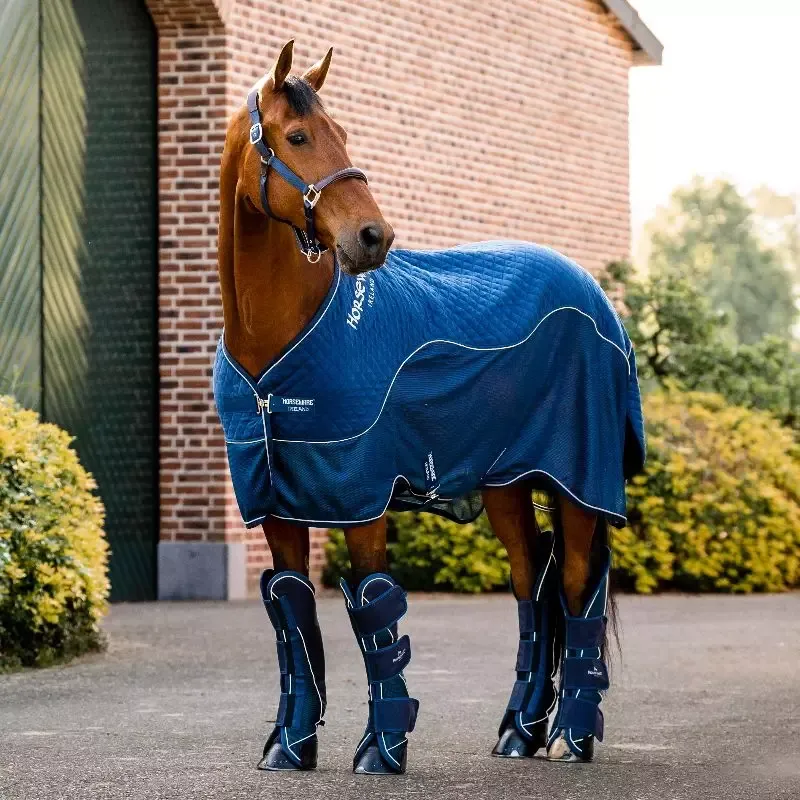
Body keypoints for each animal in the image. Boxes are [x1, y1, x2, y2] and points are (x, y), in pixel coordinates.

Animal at [214, 40, 645, 774]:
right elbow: (292, 614)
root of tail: (591, 292)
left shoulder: (361, 498)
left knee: (577, 589)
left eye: (343, 132)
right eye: (297, 137)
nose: (372, 237)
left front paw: (380, 752)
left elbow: (373, 612)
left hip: (578, 482)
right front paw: (289, 748)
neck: (278, 340)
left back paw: (570, 737)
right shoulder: (275, 503)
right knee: (533, 588)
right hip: (506, 484)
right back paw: (518, 733)